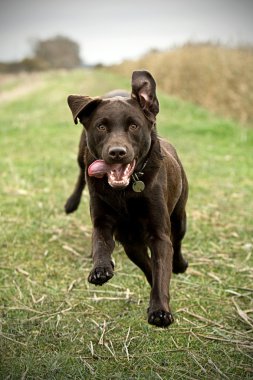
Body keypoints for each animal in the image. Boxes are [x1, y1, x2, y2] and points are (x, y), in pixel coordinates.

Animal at [64, 70, 188, 326]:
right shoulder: (107, 224)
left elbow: (162, 266)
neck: (126, 190)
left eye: (133, 126)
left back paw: (180, 265)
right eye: (101, 126)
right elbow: (101, 244)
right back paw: (71, 202)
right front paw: (101, 269)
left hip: (180, 217)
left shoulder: (159, 234)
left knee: (178, 240)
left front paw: (160, 309)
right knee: (81, 174)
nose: (117, 153)